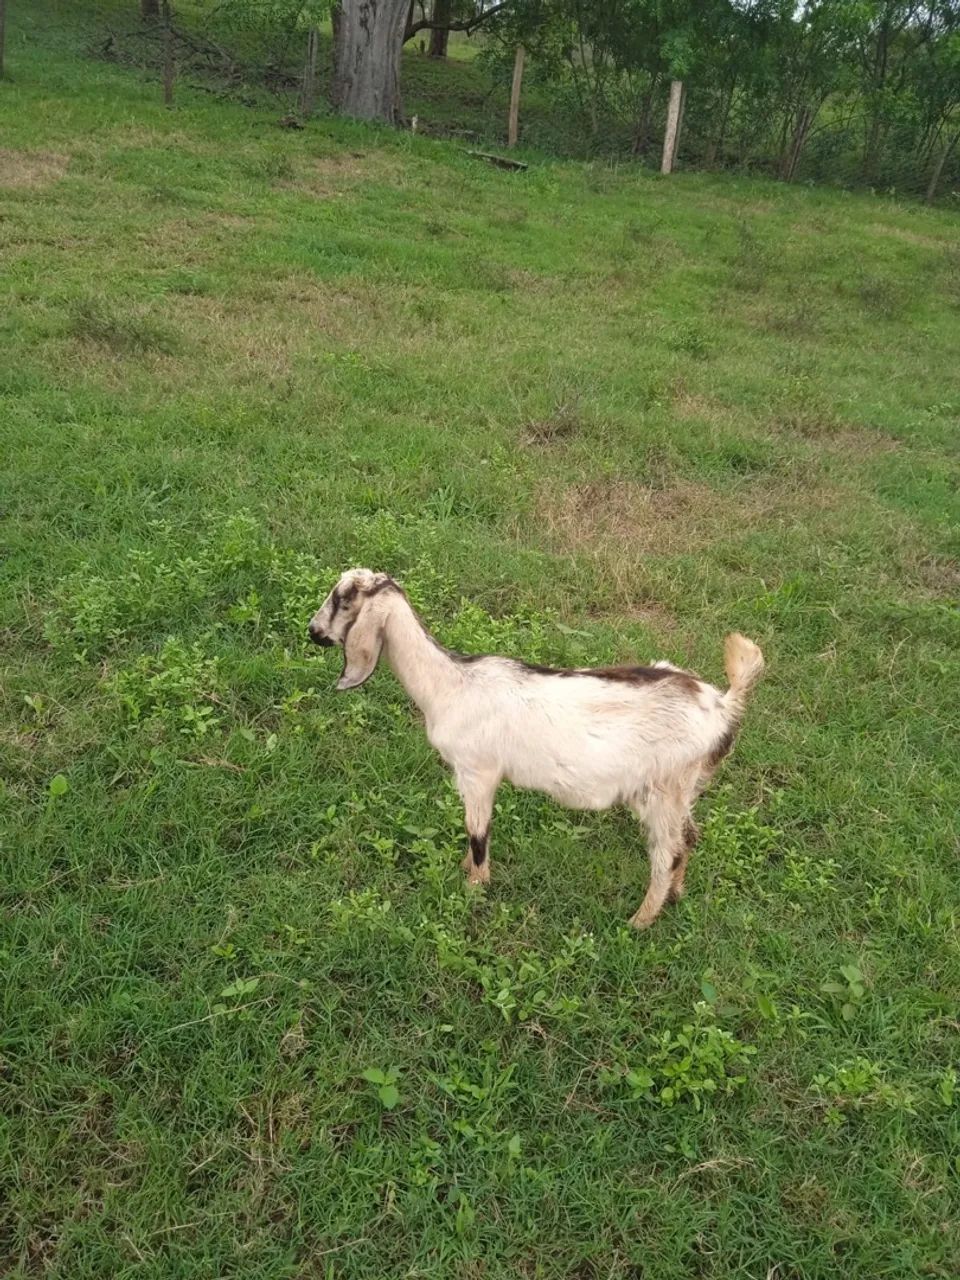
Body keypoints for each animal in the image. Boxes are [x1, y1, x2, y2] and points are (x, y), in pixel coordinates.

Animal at [308, 570, 764, 928]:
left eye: (342, 599)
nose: (313, 632)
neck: (451, 685)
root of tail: (722, 706)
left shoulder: (477, 771)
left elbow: (478, 833)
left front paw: (474, 888)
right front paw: (465, 871)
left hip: (663, 789)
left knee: (667, 852)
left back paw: (640, 920)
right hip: (683, 790)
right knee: (689, 837)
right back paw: (677, 895)